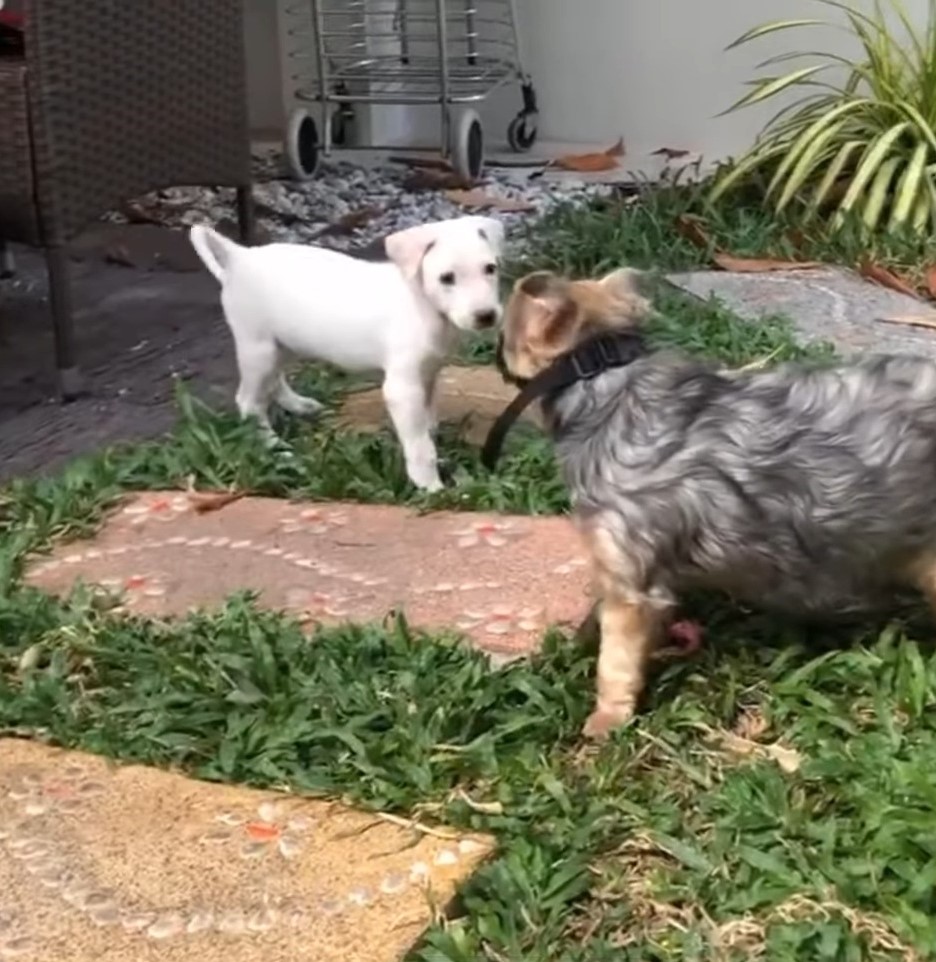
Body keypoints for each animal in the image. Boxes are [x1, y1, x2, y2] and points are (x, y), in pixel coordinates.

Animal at [189, 216, 504, 488]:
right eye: (446, 278)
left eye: (490, 269)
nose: (486, 316)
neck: (424, 304)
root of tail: (239, 257)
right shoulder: (402, 387)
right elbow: (419, 445)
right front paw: (430, 486)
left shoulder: (428, 374)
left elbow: (428, 421)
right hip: (258, 347)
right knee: (249, 402)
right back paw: (275, 447)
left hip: (284, 343)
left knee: (274, 380)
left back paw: (299, 405)